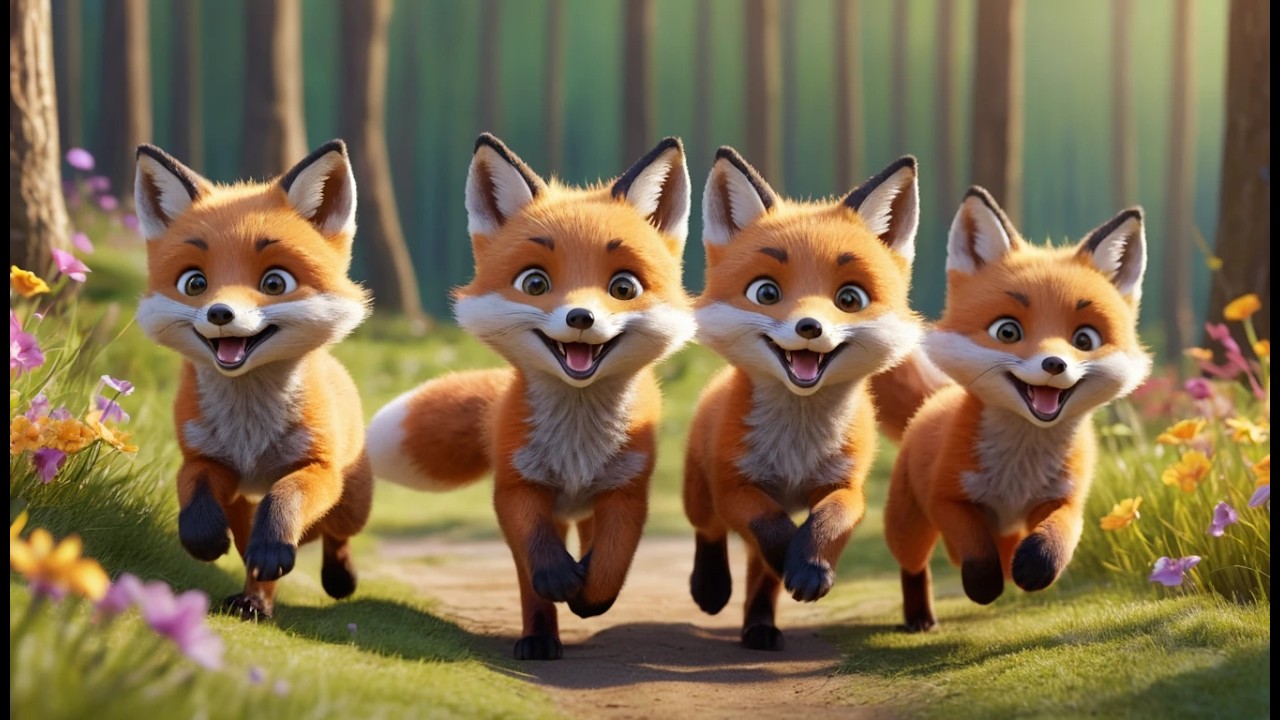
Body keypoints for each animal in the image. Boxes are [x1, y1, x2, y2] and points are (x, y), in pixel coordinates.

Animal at [134, 140, 373, 619]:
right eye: (195, 283)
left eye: (275, 282)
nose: (220, 313)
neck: (250, 434)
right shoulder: (207, 460)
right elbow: (194, 497)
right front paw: (205, 540)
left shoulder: (316, 467)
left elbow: (286, 502)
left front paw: (278, 544)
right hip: (243, 503)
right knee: (254, 557)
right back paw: (254, 601)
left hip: (352, 502)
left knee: (334, 534)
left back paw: (338, 578)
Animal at [366, 133, 693, 660]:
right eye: (535, 283)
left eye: (624, 287)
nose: (580, 317)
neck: (577, 448)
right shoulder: (519, 487)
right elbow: (538, 558)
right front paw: (560, 582)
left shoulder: (626, 489)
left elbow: (611, 563)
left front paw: (590, 594)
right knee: (530, 577)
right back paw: (539, 638)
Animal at [683, 148, 924, 651]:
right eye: (766, 292)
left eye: (849, 298)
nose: (809, 327)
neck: (796, 446)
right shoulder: (736, 487)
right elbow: (770, 529)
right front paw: (791, 562)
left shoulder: (845, 484)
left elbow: (830, 521)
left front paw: (810, 567)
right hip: (699, 491)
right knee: (708, 530)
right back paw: (712, 587)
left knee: (759, 577)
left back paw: (759, 626)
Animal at [884, 188, 1152, 631]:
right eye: (1007, 331)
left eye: (1084, 339)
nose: (1054, 364)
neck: (1019, 470)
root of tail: (933, 400)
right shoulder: (949, 499)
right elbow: (976, 552)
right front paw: (982, 584)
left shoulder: (1066, 499)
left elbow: (1059, 538)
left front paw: (1037, 567)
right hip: (908, 525)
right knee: (914, 565)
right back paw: (920, 616)